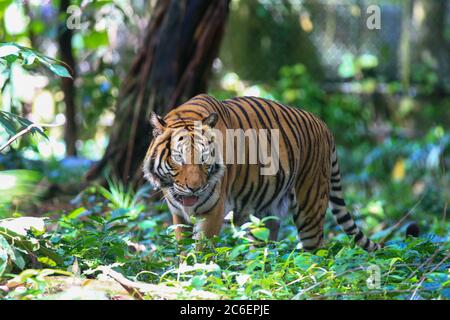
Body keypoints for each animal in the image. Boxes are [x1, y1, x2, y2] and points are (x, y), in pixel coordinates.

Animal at [143, 94, 380, 251]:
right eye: (178, 158)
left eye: (204, 158)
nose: (195, 188)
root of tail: (324, 125)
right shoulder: (178, 215)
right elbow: (182, 249)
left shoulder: (213, 211)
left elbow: (202, 251)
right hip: (264, 214)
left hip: (310, 205)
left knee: (316, 249)